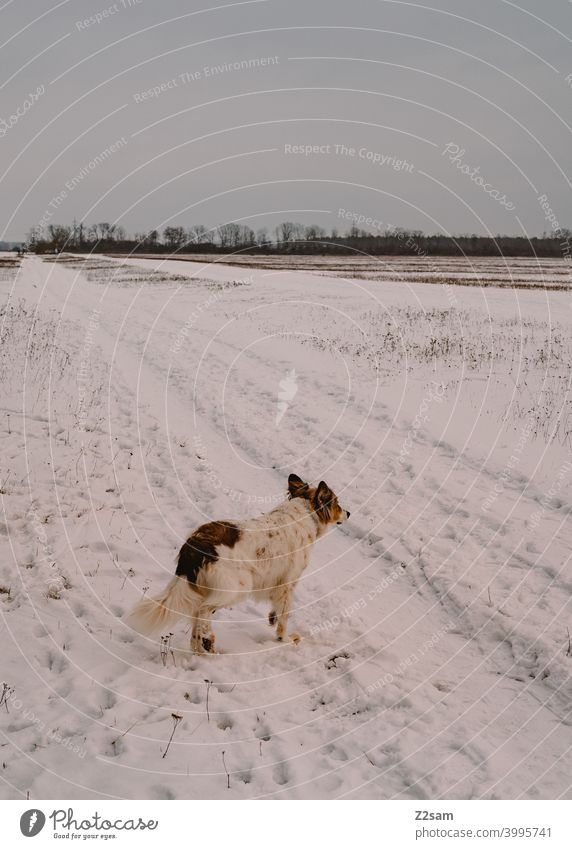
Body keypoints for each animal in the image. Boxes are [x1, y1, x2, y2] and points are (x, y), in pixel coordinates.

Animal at [128, 474, 350, 652]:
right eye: (337, 503)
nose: (348, 513)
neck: (305, 512)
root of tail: (194, 546)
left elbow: (276, 610)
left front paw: (272, 619)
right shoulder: (288, 583)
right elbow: (285, 614)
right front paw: (283, 639)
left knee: (196, 618)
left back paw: (201, 649)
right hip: (238, 587)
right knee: (203, 611)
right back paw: (208, 641)